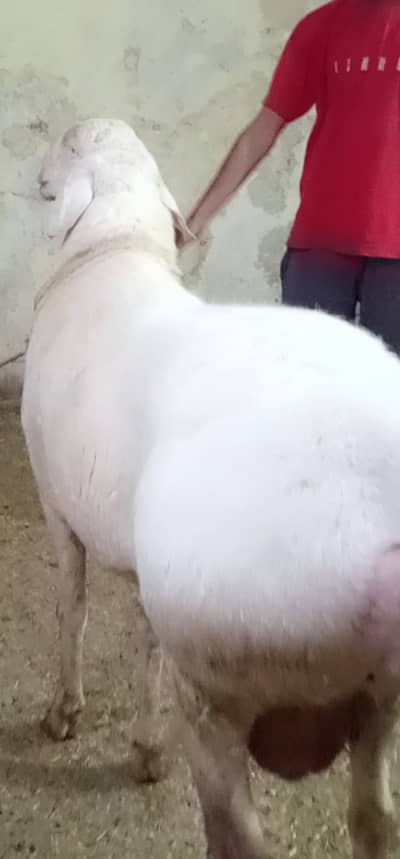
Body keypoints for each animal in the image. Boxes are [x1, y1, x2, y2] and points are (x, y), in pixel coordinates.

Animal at [22, 118, 400, 859]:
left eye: (68, 145)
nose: (38, 179)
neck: (113, 247)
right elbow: (146, 645)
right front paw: (145, 744)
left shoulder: (56, 502)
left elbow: (72, 608)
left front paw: (66, 713)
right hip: (379, 700)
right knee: (374, 818)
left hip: (226, 679)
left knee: (239, 834)